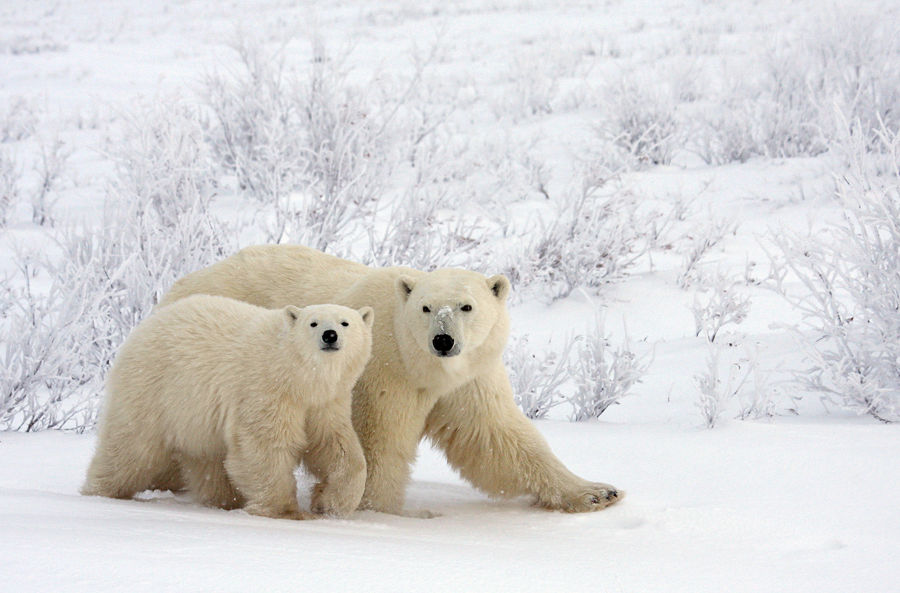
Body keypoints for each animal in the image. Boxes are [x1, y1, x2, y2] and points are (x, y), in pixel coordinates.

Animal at [162, 245, 624, 512]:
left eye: (466, 306)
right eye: (426, 308)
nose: (442, 339)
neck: (421, 363)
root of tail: (179, 283)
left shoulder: (469, 378)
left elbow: (494, 437)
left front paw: (597, 492)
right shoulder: (384, 371)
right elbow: (378, 442)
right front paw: (376, 511)